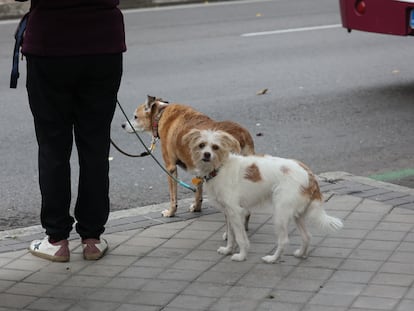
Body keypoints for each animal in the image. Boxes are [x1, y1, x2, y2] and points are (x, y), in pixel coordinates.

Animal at [184, 129, 342, 264]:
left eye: (215, 147)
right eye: (201, 145)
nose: (206, 155)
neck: (220, 168)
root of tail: (309, 174)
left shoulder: (236, 212)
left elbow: (240, 237)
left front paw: (241, 255)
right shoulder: (228, 213)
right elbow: (231, 236)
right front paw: (228, 250)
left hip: (280, 214)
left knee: (284, 240)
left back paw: (273, 259)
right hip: (297, 214)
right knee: (307, 236)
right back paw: (301, 254)